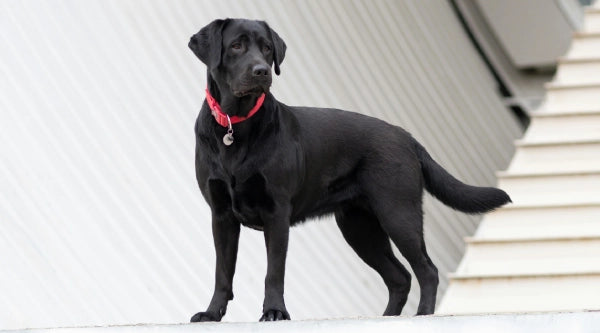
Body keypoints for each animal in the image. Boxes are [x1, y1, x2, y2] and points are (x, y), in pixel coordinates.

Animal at [189, 18, 510, 322]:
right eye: (236, 46)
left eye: (267, 48)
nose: (261, 71)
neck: (236, 126)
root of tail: (406, 136)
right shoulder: (221, 215)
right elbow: (222, 272)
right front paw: (211, 314)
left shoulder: (276, 212)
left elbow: (274, 272)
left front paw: (275, 312)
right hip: (360, 228)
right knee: (400, 277)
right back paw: (386, 318)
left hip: (398, 213)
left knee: (426, 270)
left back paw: (423, 316)